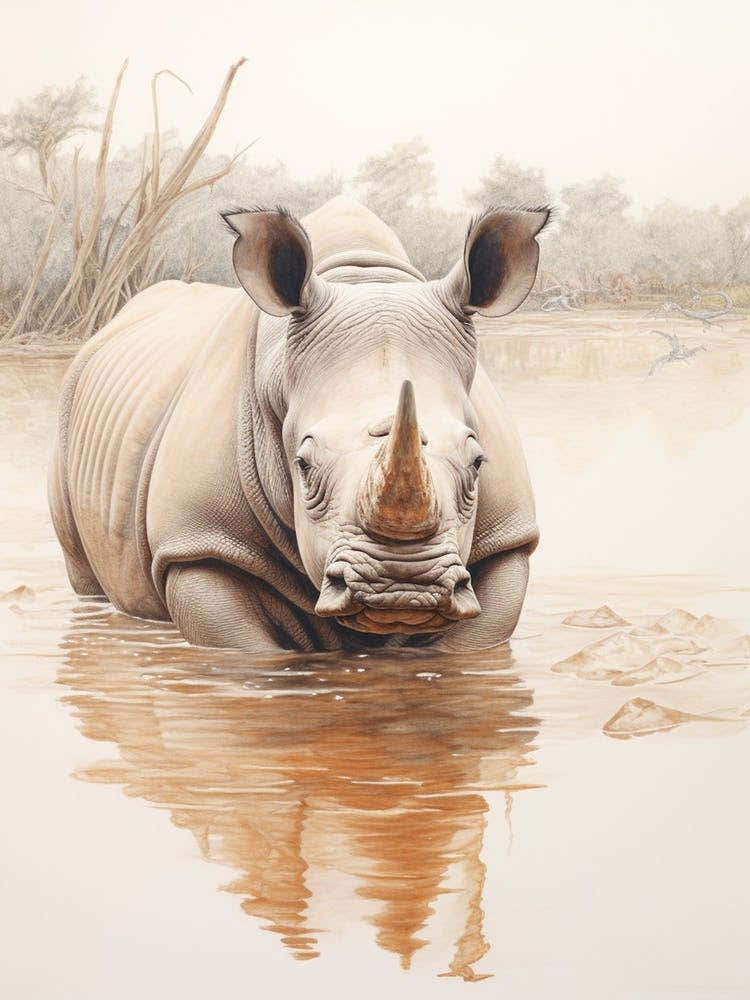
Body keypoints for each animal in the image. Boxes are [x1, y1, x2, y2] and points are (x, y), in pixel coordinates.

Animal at [49, 196, 548, 652]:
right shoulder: (199, 544)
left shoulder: (506, 540)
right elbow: (247, 650)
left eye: (478, 461)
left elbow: (470, 647)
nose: (404, 584)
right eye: (303, 464)